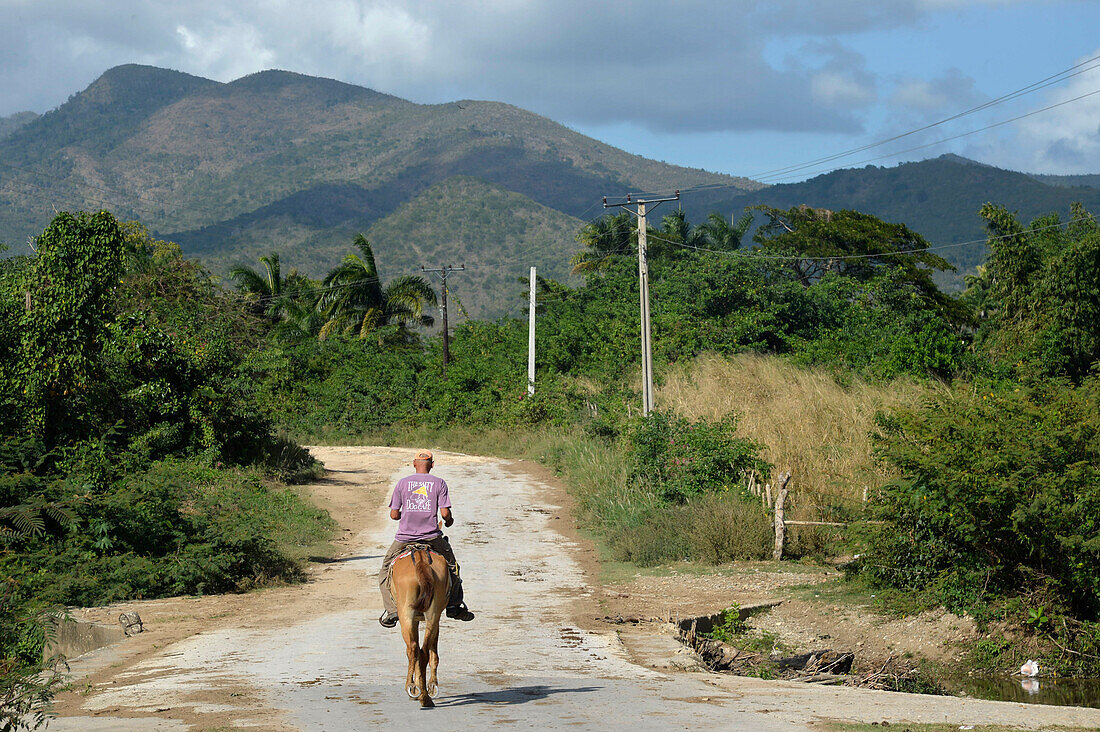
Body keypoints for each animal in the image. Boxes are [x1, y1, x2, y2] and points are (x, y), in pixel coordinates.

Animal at [391, 545, 451, 704]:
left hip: (406, 615)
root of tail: (420, 559)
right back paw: (425, 697)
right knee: (423, 651)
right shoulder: (430, 619)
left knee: (412, 649)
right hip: (432, 614)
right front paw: (429, 685)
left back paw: (411, 687)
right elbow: (431, 652)